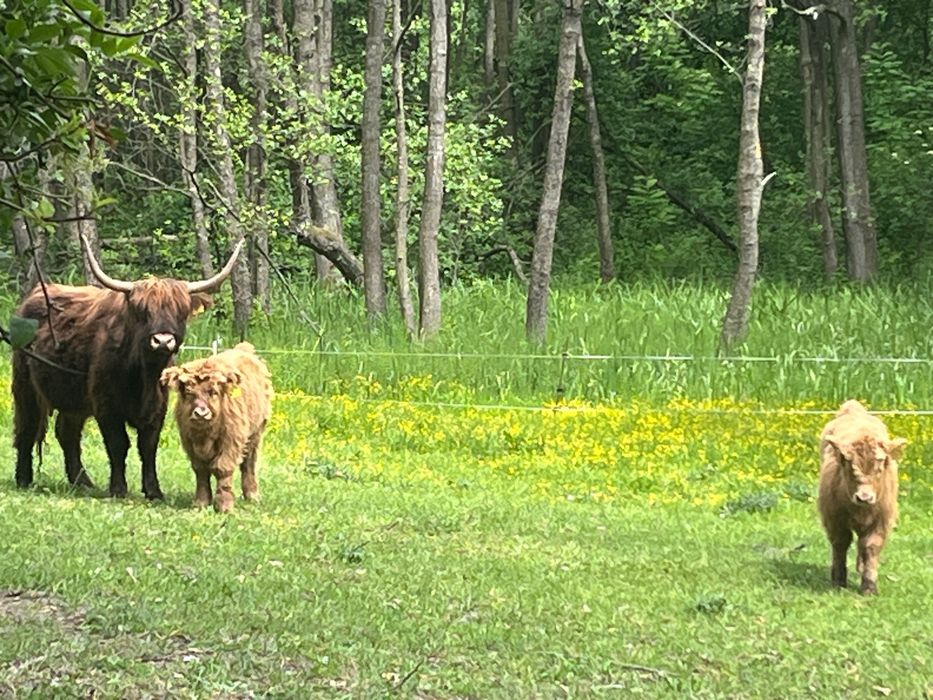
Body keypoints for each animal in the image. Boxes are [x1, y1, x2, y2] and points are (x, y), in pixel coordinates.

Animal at [12, 235, 242, 499]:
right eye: (143, 311)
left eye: (181, 311)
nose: (163, 341)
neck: (143, 375)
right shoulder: (106, 406)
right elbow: (118, 444)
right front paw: (118, 489)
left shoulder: (157, 407)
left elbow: (148, 447)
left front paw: (154, 491)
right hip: (25, 385)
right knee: (27, 427)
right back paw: (24, 478)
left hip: (75, 400)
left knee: (66, 432)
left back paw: (82, 482)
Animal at [160, 342, 273, 513]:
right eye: (189, 393)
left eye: (213, 391)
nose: (200, 413)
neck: (204, 435)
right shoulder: (189, 442)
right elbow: (200, 470)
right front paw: (201, 502)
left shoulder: (232, 441)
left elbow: (223, 469)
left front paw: (224, 505)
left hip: (256, 433)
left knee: (249, 464)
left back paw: (252, 495)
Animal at [818, 399, 907, 595]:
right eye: (849, 467)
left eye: (880, 468)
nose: (864, 497)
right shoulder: (833, 518)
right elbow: (840, 543)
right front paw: (838, 580)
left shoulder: (882, 520)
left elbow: (871, 546)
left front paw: (869, 586)